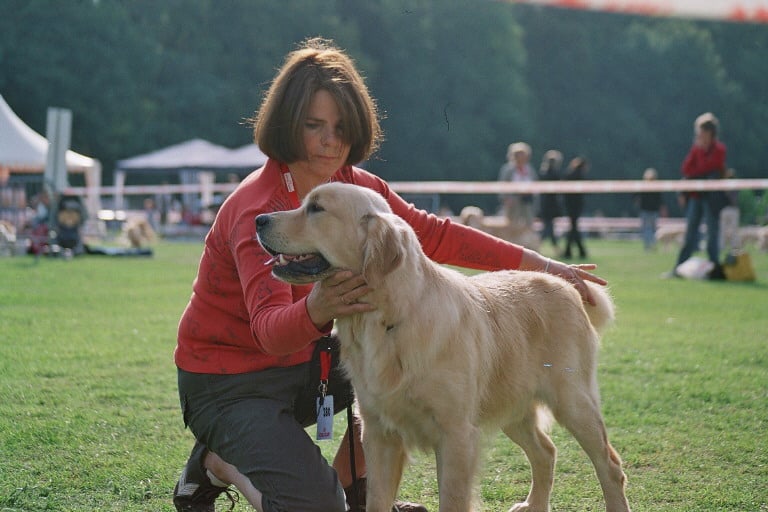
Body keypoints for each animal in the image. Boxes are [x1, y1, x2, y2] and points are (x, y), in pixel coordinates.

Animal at [258, 182, 632, 510]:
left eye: (316, 208)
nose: (259, 220)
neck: (388, 319)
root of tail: (562, 283)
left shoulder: (455, 435)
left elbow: (452, 500)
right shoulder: (378, 434)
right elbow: (377, 500)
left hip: (572, 401)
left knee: (609, 465)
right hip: (512, 406)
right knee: (547, 452)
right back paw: (534, 505)